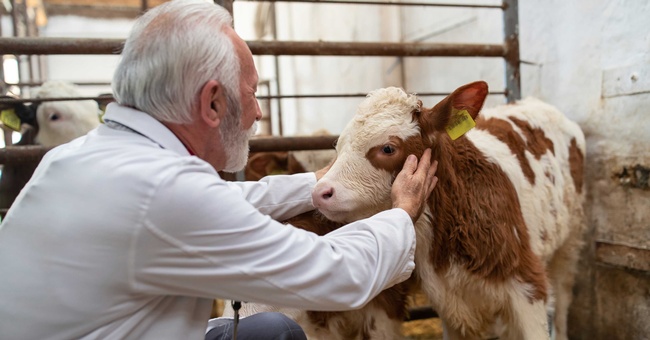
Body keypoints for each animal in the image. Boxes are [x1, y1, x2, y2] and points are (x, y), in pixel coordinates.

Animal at [310, 82, 588, 340]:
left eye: (388, 148)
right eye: (338, 146)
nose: (320, 192)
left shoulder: (528, 285)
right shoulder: (448, 303)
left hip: (570, 238)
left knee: (563, 296)